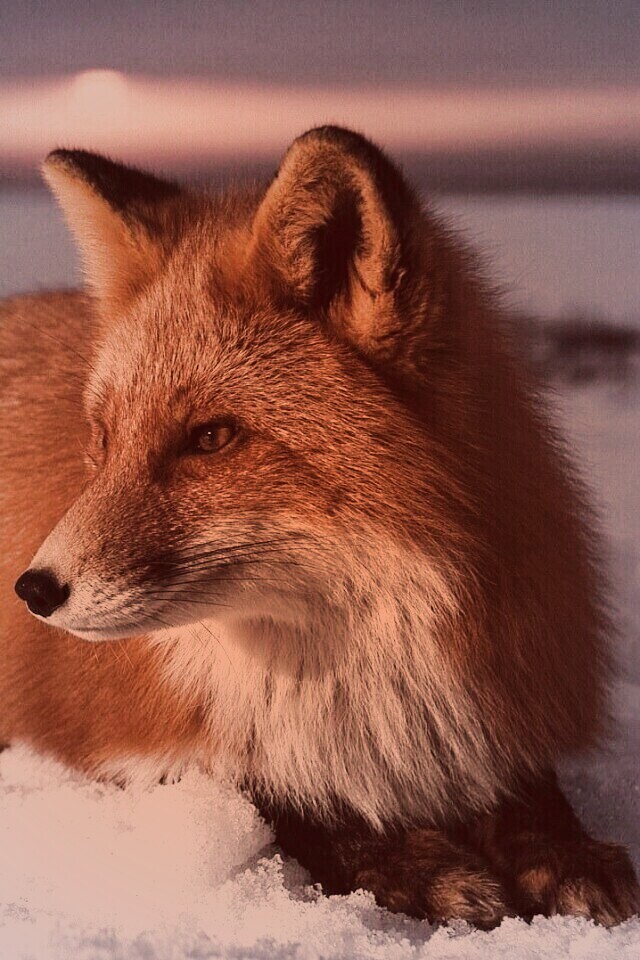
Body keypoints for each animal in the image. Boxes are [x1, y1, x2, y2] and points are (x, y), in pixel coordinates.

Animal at [0, 126, 638, 928]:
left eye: (212, 437)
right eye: (105, 439)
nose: (34, 589)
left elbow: (529, 788)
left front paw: (563, 851)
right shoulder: (118, 743)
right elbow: (272, 801)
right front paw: (410, 863)